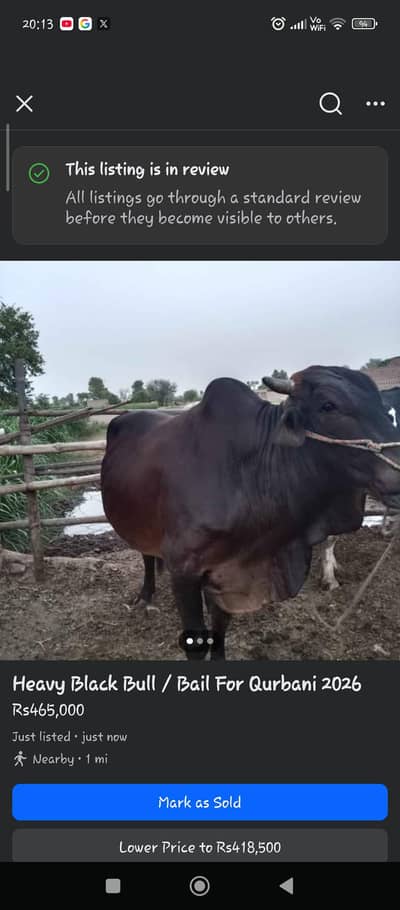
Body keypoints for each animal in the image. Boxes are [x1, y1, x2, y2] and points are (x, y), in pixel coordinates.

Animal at [101, 366, 400, 659]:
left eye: (384, 408)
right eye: (328, 405)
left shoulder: (226, 572)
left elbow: (220, 631)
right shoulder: (183, 570)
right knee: (146, 555)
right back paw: (145, 596)